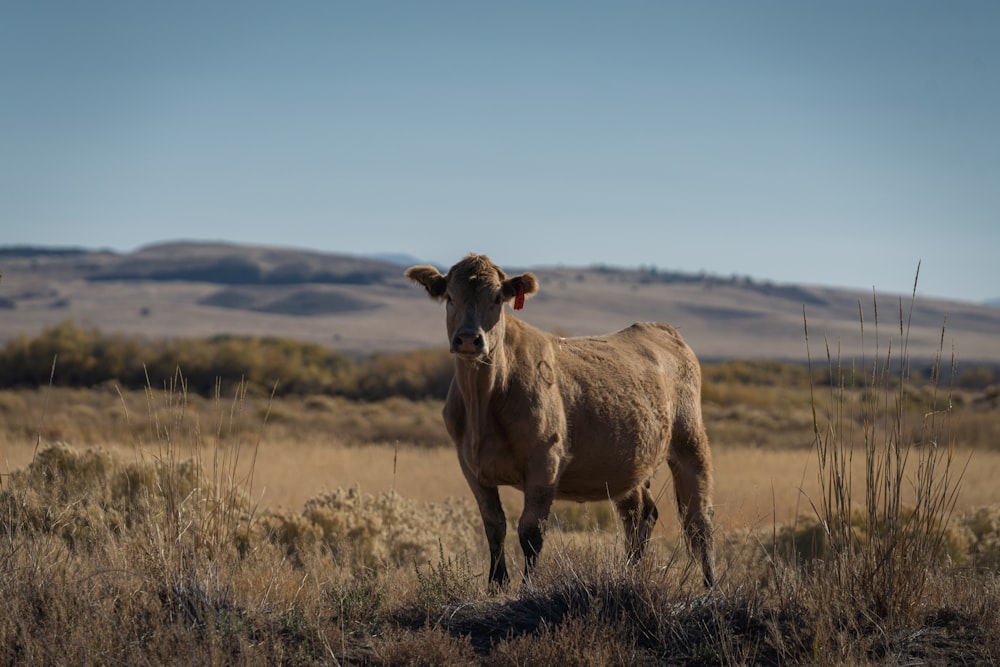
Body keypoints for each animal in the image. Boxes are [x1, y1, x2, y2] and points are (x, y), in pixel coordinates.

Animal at [402, 253, 716, 588]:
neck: (482, 403)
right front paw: (496, 583)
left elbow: (530, 531)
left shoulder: (545, 461)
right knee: (640, 514)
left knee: (699, 519)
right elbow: (494, 525)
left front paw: (527, 586)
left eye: (497, 298)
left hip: (690, 441)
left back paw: (710, 585)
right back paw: (630, 574)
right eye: (450, 297)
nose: (468, 339)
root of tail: (661, 329)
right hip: (628, 462)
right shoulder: (471, 467)